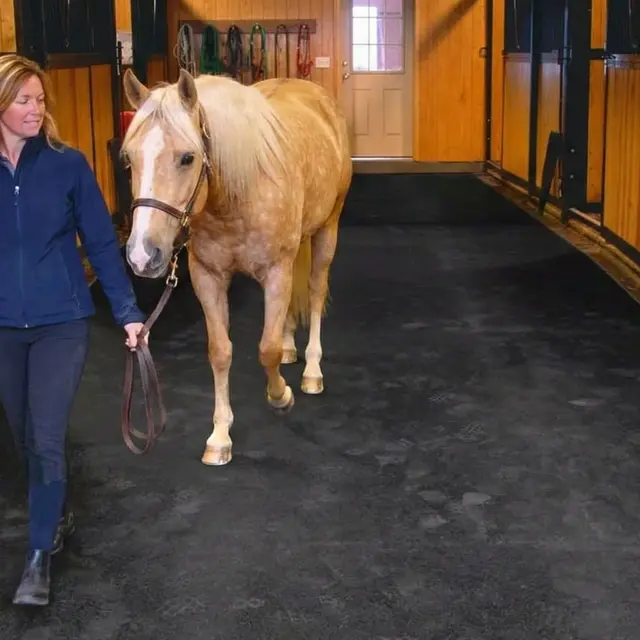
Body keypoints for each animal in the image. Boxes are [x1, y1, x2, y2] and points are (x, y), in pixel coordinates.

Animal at [120, 68, 353, 466]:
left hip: (327, 229)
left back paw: (311, 370)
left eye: (187, 158)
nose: (141, 255)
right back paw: (292, 347)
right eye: (129, 158)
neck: (237, 193)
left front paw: (281, 395)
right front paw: (219, 436)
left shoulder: (276, 271)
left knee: (316, 291)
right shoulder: (208, 277)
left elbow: (266, 349)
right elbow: (220, 351)